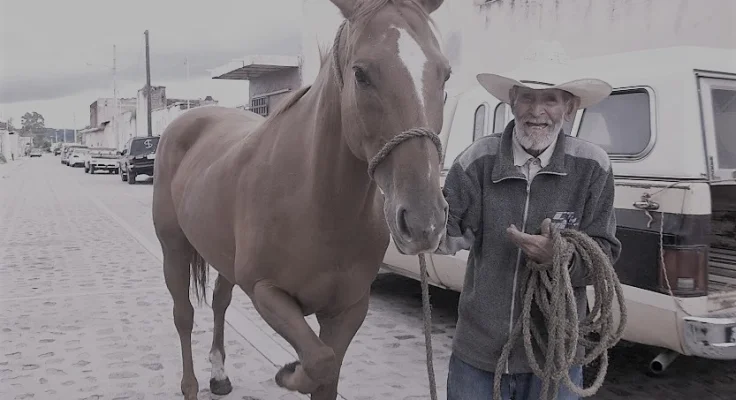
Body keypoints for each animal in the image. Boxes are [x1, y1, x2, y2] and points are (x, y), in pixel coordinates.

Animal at [152, 0, 450, 398]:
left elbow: (327, 369)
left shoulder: (348, 309)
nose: (423, 221)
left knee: (219, 302)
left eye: (445, 74)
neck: (316, 202)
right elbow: (320, 361)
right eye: (361, 74)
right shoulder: (265, 291)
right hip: (174, 247)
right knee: (183, 314)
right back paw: (191, 385)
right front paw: (288, 372)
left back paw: (219, 374)